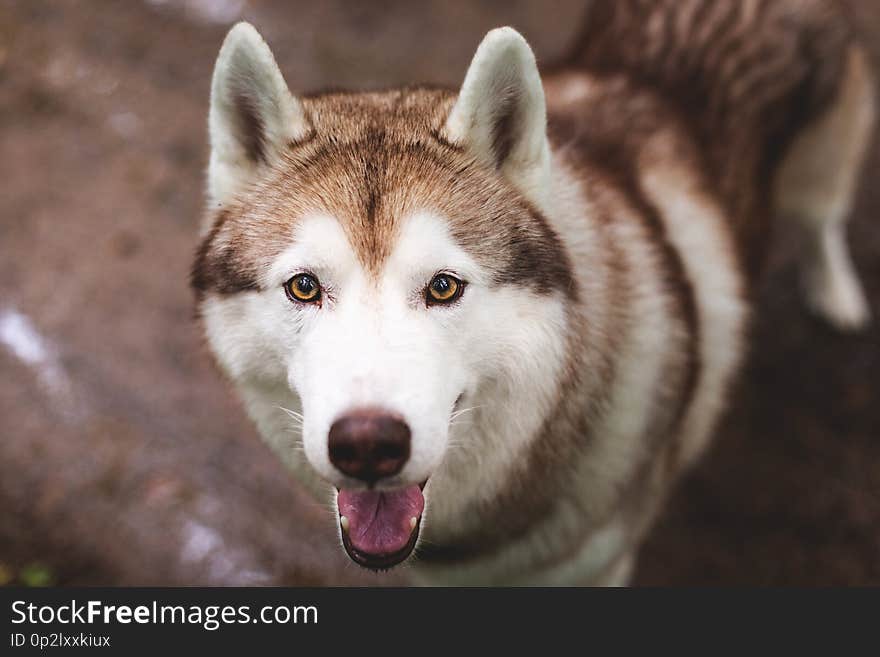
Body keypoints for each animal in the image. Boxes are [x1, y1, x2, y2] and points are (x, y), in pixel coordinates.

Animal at [192, 0, 872, 584]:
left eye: (444, 287)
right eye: (305, 287)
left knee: (823, 219)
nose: (367, 446)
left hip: (823, 165)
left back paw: (837, 291)